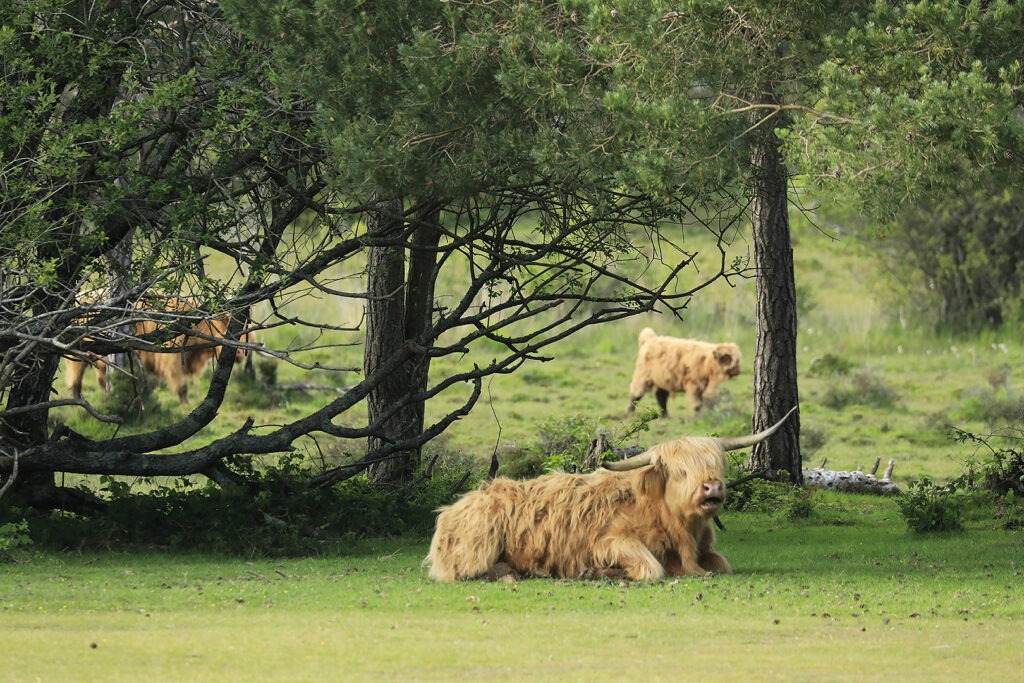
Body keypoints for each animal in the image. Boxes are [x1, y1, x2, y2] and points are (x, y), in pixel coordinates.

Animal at [425, 407, 797, 582]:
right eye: (679, 471)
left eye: (717, 464)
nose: (712, 487)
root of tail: (451, 509)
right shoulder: (607, 541)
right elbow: (651, 568)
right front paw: (597, 573)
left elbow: (722, 565)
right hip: (479, 543)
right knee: (469, 570)